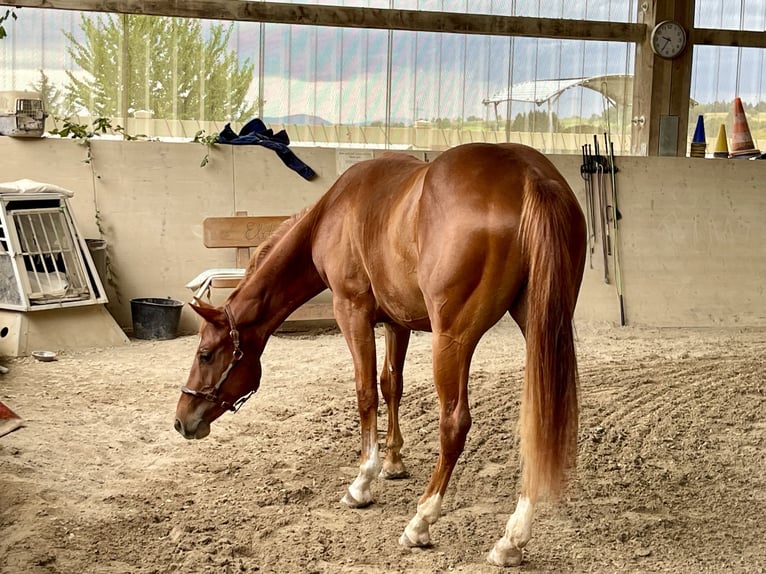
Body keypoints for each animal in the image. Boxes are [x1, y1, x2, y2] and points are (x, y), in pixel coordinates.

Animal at [174, 142, 586, 566]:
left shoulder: (351, 311)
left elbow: (366, 392)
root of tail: (527, 175)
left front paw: (363, 481)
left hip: (453, 338)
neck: (333, 211)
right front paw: (393, 463)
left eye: (205, 354)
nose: (181, 421)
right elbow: (392, 385)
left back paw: (421, 522)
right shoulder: (395, 322)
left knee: (454, 424)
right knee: (537, 421)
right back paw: (511, 539)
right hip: (539, 327)